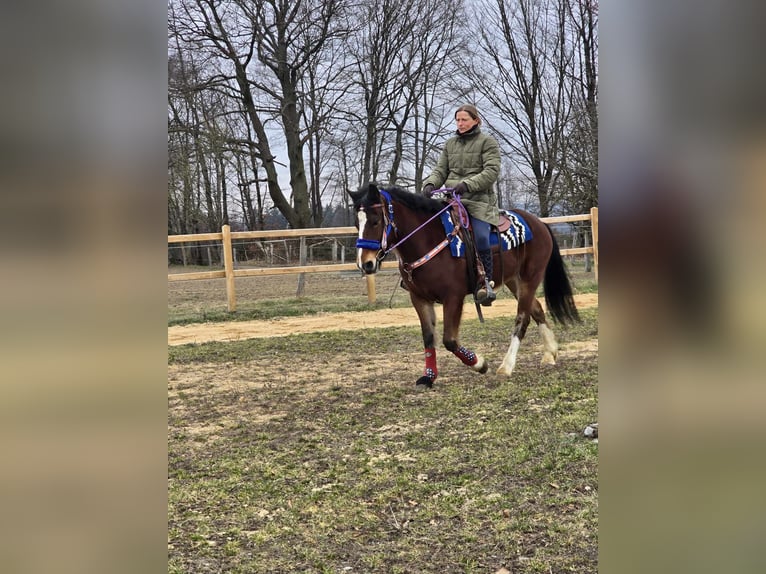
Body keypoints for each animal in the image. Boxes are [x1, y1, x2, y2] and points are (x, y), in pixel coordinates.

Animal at [352, 183, 580, 392]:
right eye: (357, 223)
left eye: (375, 220)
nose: (366, 264)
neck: (428, 239)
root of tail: (539, 223)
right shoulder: (419, 298)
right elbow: (429, 338)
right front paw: (428, 377)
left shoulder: (453, 297)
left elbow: (449, 340)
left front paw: (480, 364)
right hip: (514, 281)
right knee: (537, 309)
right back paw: (550, 352)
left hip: (530, 278)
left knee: (522, 317)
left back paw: (506, 366)